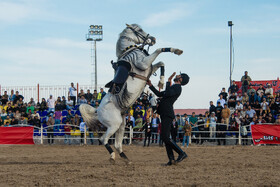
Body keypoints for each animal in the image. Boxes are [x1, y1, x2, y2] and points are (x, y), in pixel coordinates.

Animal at [80, 23, 183, 163]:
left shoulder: (149, 68)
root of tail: (97, 110)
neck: (131, 51)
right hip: (114, 125)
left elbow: (161, 63)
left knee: (118, 144)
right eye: (139, 30)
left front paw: (161, 82)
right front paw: (175, 51)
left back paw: (126, 159)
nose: (153, 39)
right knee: (103, 139)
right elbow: (159, 51)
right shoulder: (144, 63)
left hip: (121, 125)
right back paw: (112, 156)